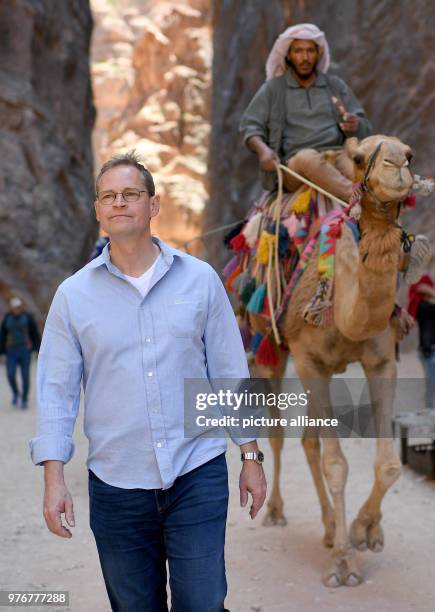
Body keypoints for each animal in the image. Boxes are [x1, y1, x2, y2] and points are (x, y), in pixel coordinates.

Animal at [252, 135, 418, 588]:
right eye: (361, 159)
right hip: (270, 350)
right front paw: (344, 564)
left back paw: (329, 528)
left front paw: (364, 531)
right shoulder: (308, 360)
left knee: (309, 440)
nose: (397, 166)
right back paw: (276, 511)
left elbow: (389, 464)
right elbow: (336, 464)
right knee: (279, 433)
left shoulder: (383, 362)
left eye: (409, 154)